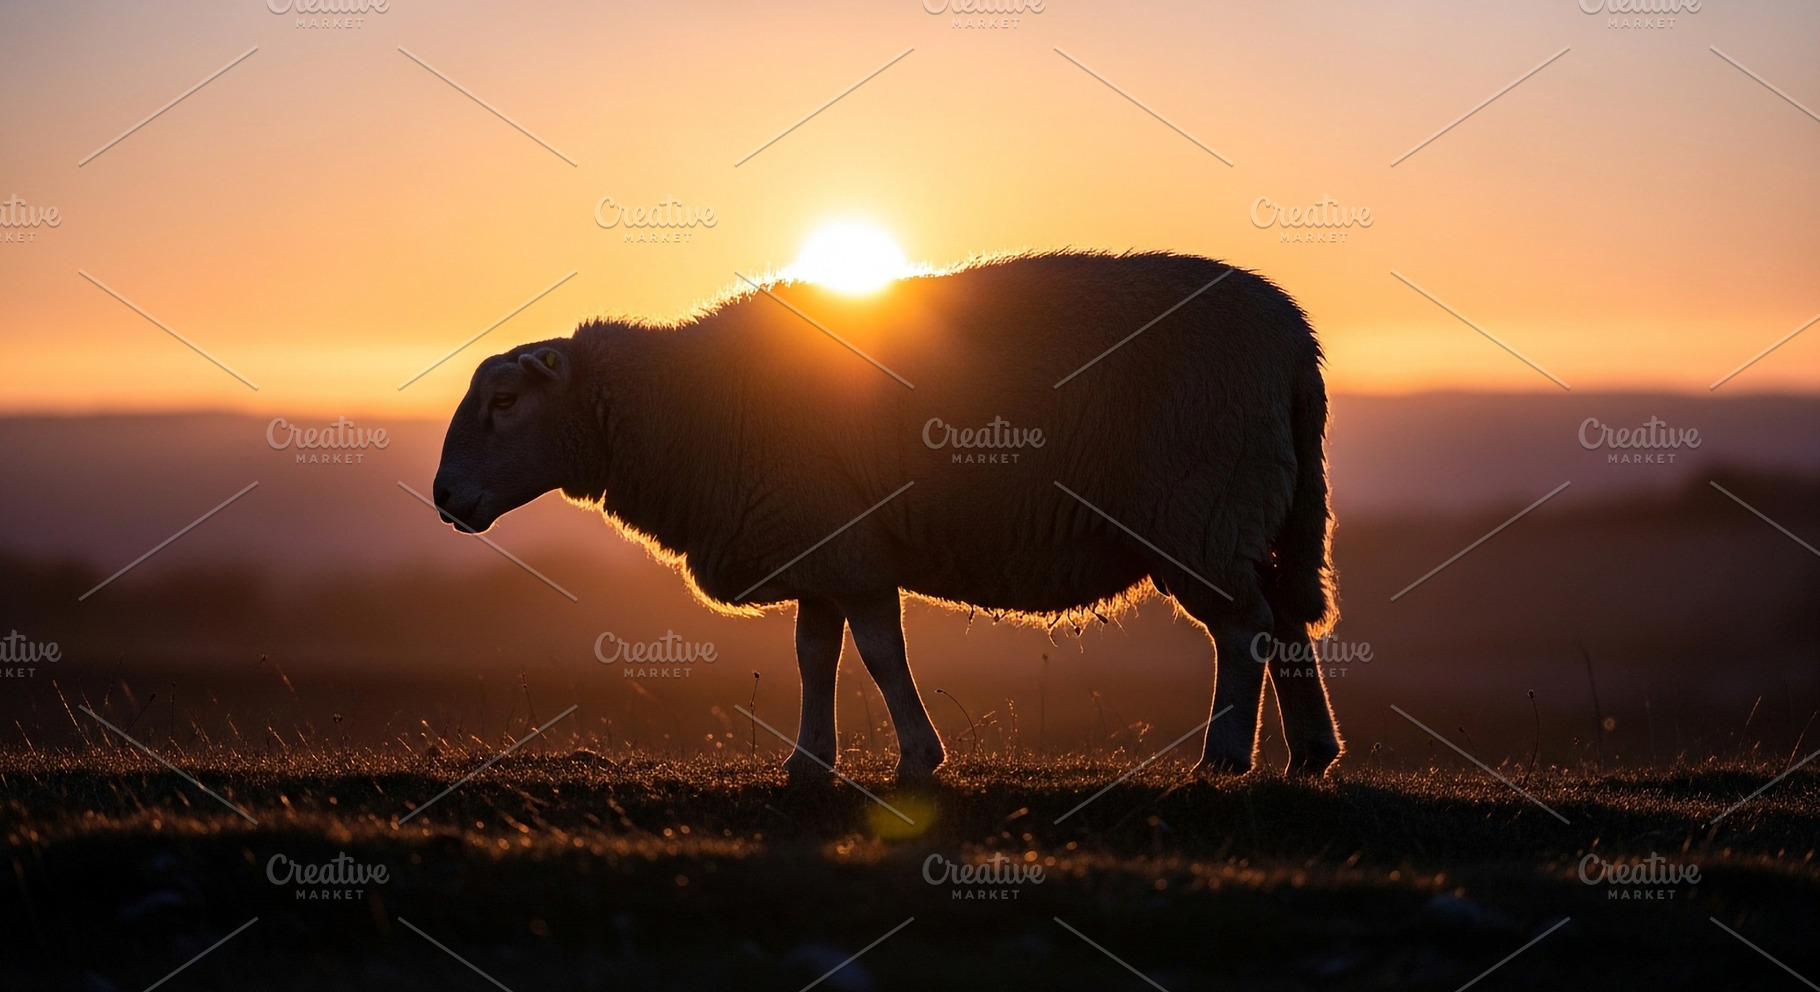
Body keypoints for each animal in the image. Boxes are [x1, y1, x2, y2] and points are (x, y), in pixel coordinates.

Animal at [431, 251, 1342, 779]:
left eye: (505, 402)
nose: (442, 499)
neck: (693, 404)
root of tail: (1296, 342)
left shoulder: (847, 549)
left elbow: (877, 653)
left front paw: (916, 759)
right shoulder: (812, 543)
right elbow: (814, 657)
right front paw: (809, 763)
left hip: (1199, 510)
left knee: (1245, 628)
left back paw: (1224, 758)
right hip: (1255, 509)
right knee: (1286, 619)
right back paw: (1310, 755)